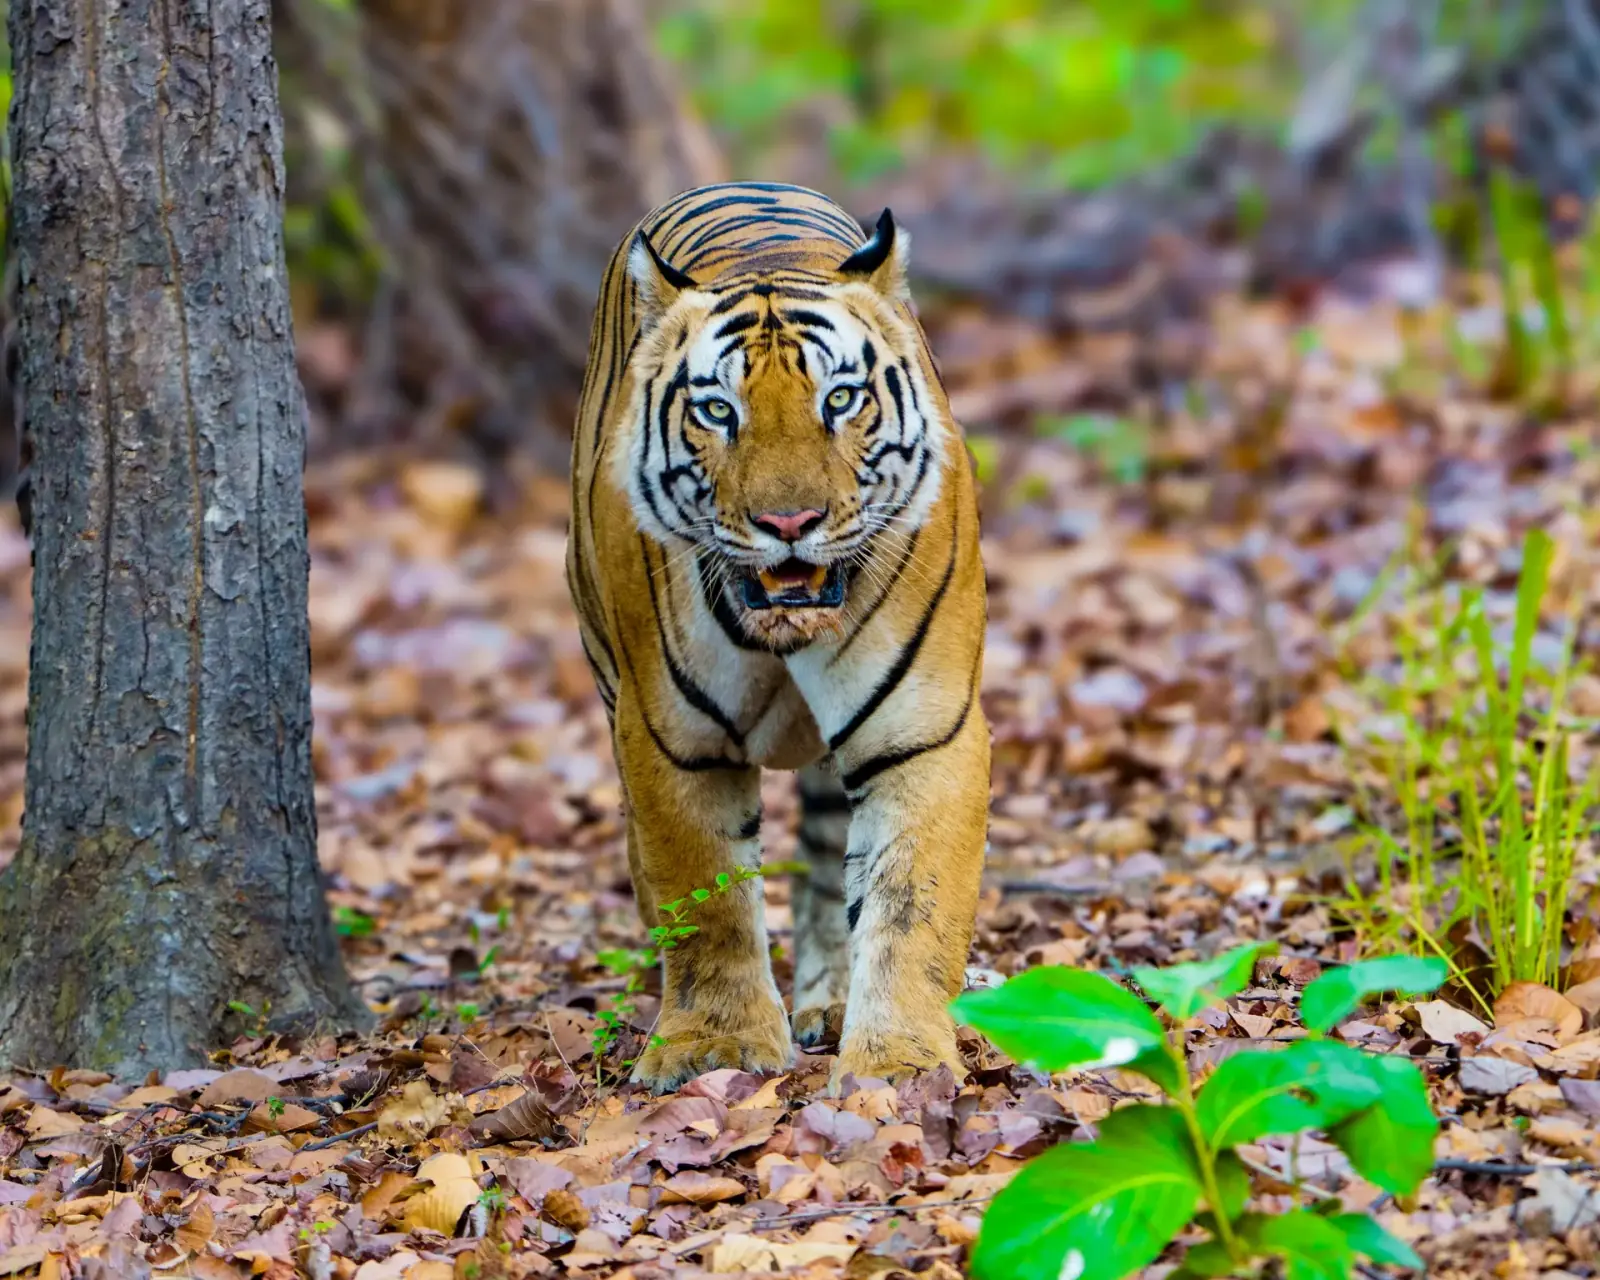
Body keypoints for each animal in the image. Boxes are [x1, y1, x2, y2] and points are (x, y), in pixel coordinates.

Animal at [566, 181, 989, 1094]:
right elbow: (706, 898)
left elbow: (913, 905)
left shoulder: (923, 730)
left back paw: (828, 1002)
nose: (789, 522)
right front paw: (712, 1045)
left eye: (840, 400)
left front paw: (900, 1063)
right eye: (717, 411)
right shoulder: (673, 737)